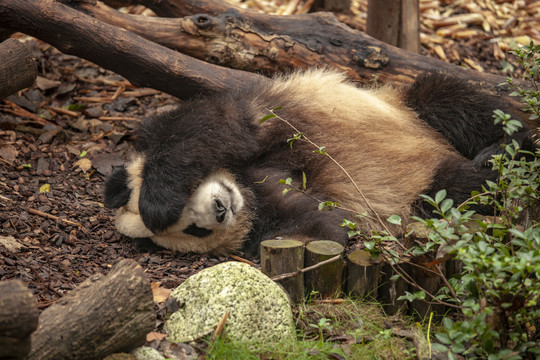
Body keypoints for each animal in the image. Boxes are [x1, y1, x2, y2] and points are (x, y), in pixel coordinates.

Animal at [103, 69, 536, 255]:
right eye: (195, 231)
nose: (220, 209)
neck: (242, 182)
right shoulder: (267, 211)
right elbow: (323, 227)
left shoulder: (253, 118)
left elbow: (206, 127)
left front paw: (156, 202)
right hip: (425, 194)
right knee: (455, 187)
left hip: (409, 108)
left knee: (453, 101)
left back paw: (507, 149)